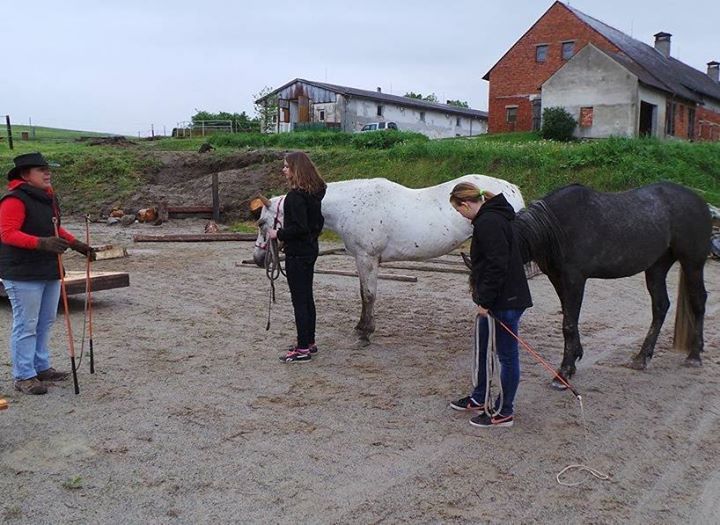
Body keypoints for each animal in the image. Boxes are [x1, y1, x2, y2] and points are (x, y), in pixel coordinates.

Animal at [516, 182, 712, 386]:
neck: (556, 226)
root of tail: (701, 203)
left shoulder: (574, 279)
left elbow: (568, 325)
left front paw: (563, 373)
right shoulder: (557, 279)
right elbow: (570, 320)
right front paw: (575, 358)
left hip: (692, 263)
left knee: (698, 301)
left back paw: (694, 356)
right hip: (656, 268)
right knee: (661, 306)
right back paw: (642, 358)